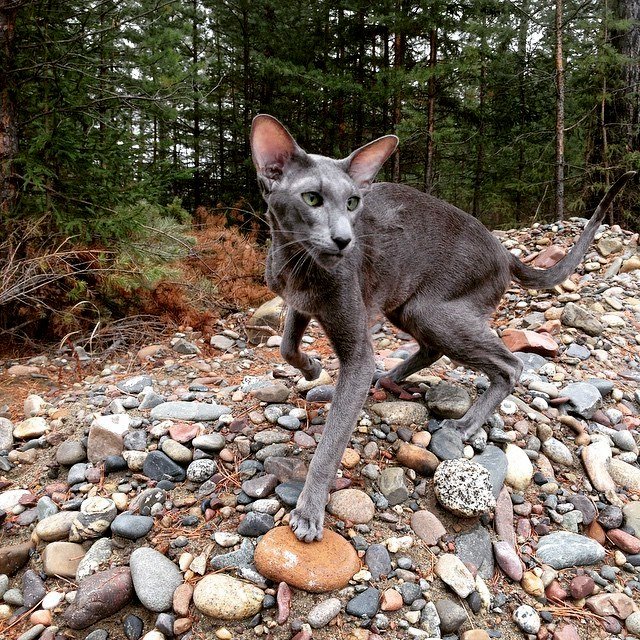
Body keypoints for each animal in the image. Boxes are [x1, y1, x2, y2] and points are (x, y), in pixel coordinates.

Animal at [250, 114, 636, 540]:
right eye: (312, 199)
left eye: (352, 203)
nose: (344, 239)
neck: (297, 265)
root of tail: (504, 252)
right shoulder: (299, 303)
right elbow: (287, 346)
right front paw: (312, 369)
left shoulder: (353, 338)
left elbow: (333, 440)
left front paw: (308, 512)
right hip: (405, 303)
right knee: (431, 351)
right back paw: (384, 379)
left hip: (429, 309)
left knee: (509, 364)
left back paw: (465, 424)